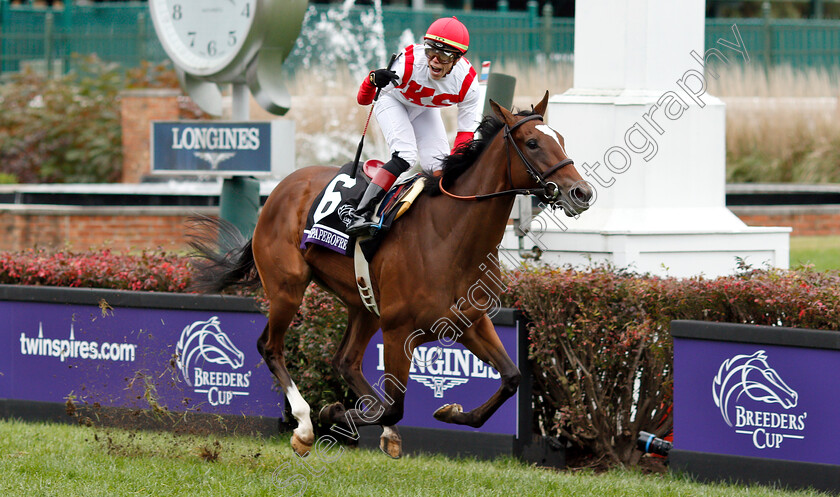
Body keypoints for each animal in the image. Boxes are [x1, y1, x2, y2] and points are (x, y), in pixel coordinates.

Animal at [192, 93, 592, 458]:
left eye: (561, 138)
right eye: (533, 142)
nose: (582, 192)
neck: (450, 236)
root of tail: (281, 188)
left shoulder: (471, 321)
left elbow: (511, 378)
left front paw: (450, 411)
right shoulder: (400, 331)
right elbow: (396, 406)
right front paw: (334, 412)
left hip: (364, 304)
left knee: (345, 361)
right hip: (287, 288)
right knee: (270, 347)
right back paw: (305, 425)